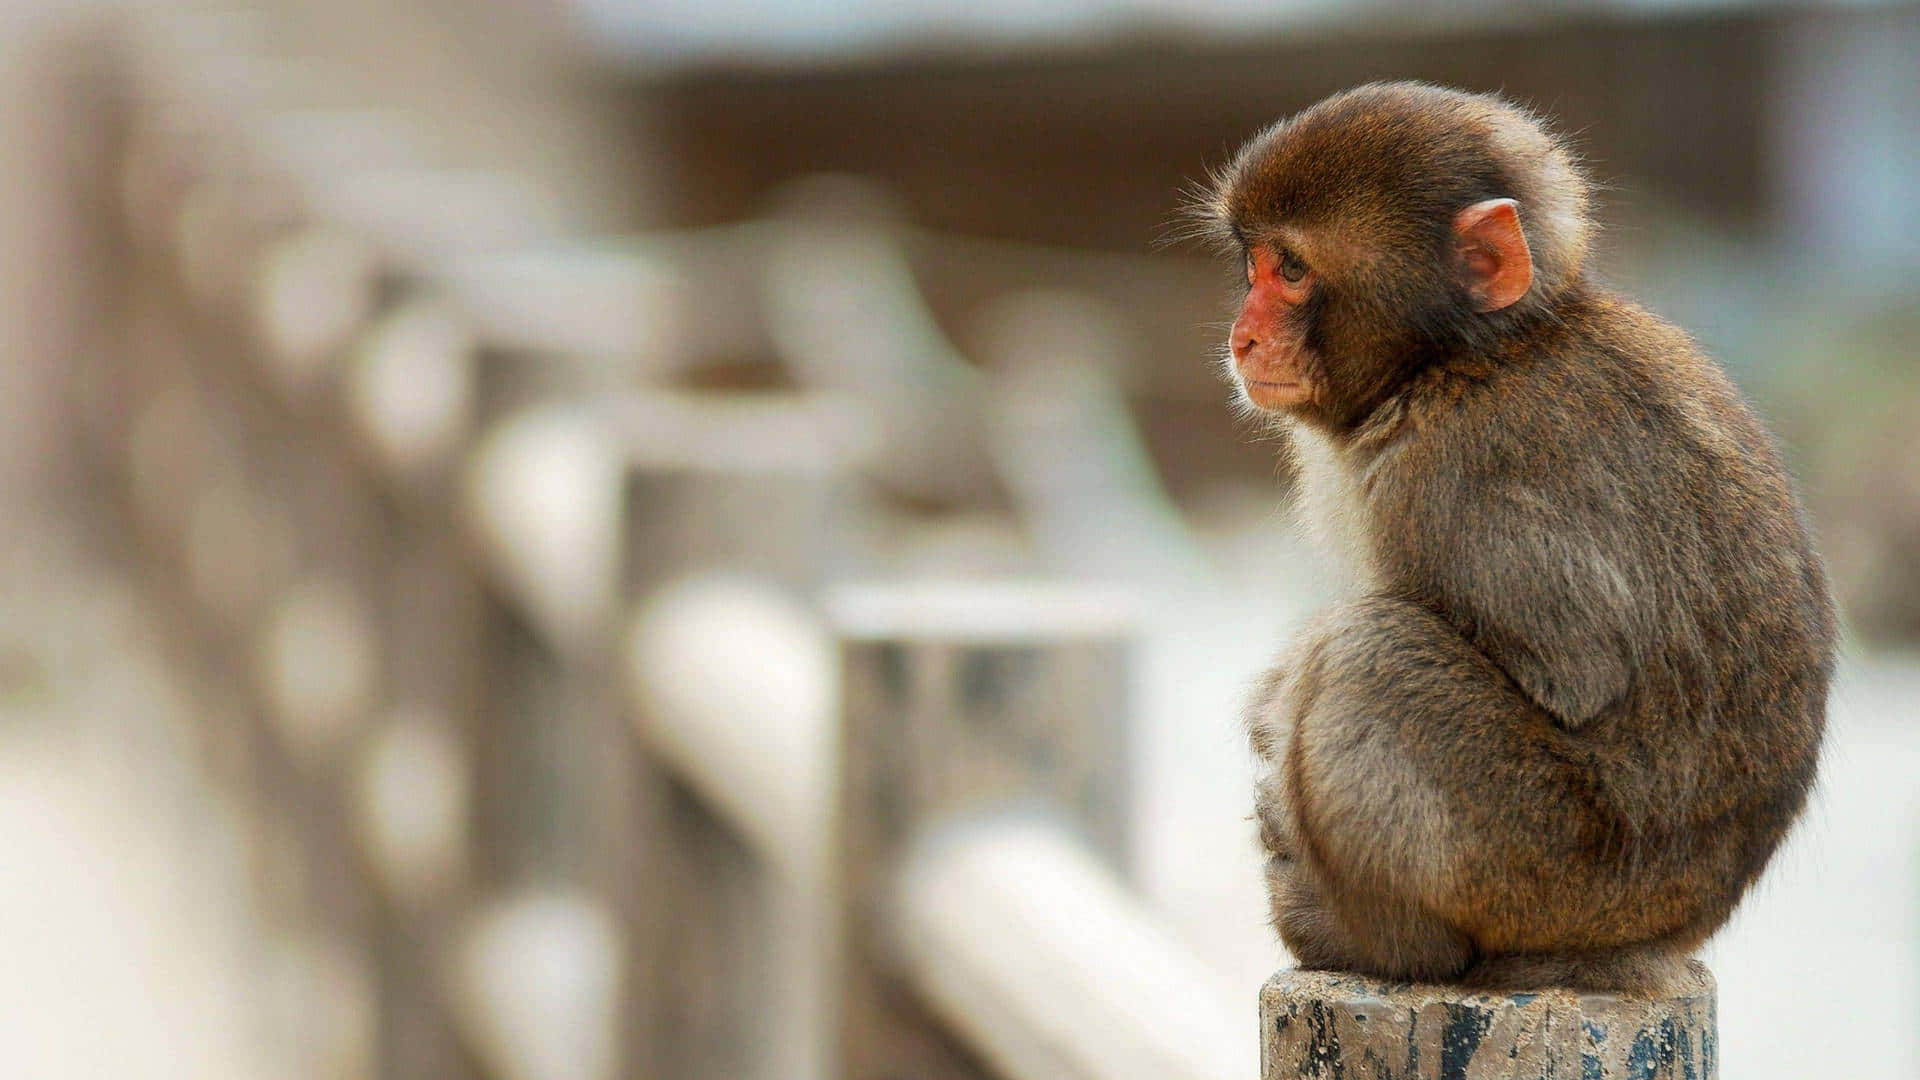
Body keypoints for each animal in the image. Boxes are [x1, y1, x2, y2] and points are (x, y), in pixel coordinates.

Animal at [1190, 84, 1835, 991]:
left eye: (1291, 270)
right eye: (1253, 266)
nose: (1242, 337)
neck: (1461, 361)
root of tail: (1667, 935)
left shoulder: (1461, 476)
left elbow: (1573, 675)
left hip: (1547, 873)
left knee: (1370, 652)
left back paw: (1385, 945)